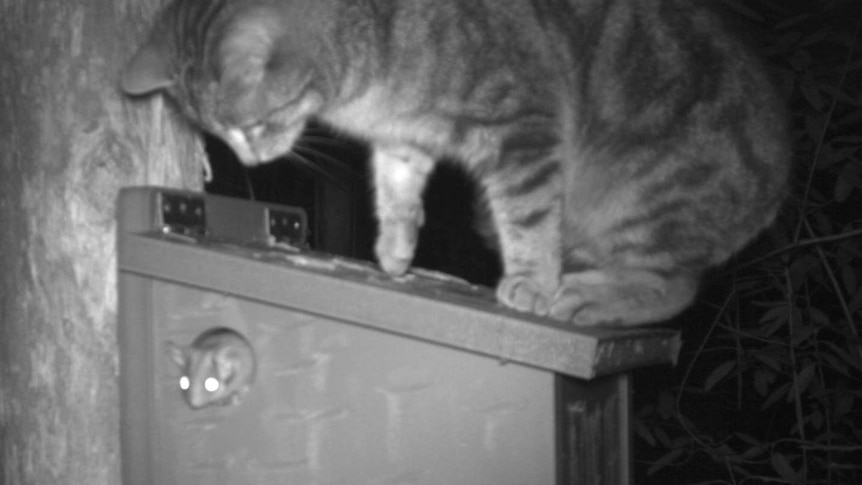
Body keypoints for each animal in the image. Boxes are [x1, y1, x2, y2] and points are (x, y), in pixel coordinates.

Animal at [121, 0, 788, 328]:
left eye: (252, 125)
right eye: (217, 134)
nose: (251, 157)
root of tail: (777, 185)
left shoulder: (523, 127)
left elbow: (528, 220)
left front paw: (531, 281)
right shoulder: (404, 135)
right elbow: (396, 193)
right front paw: (394, 251)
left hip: (640, 195)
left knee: (674, 287)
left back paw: (585, 296)